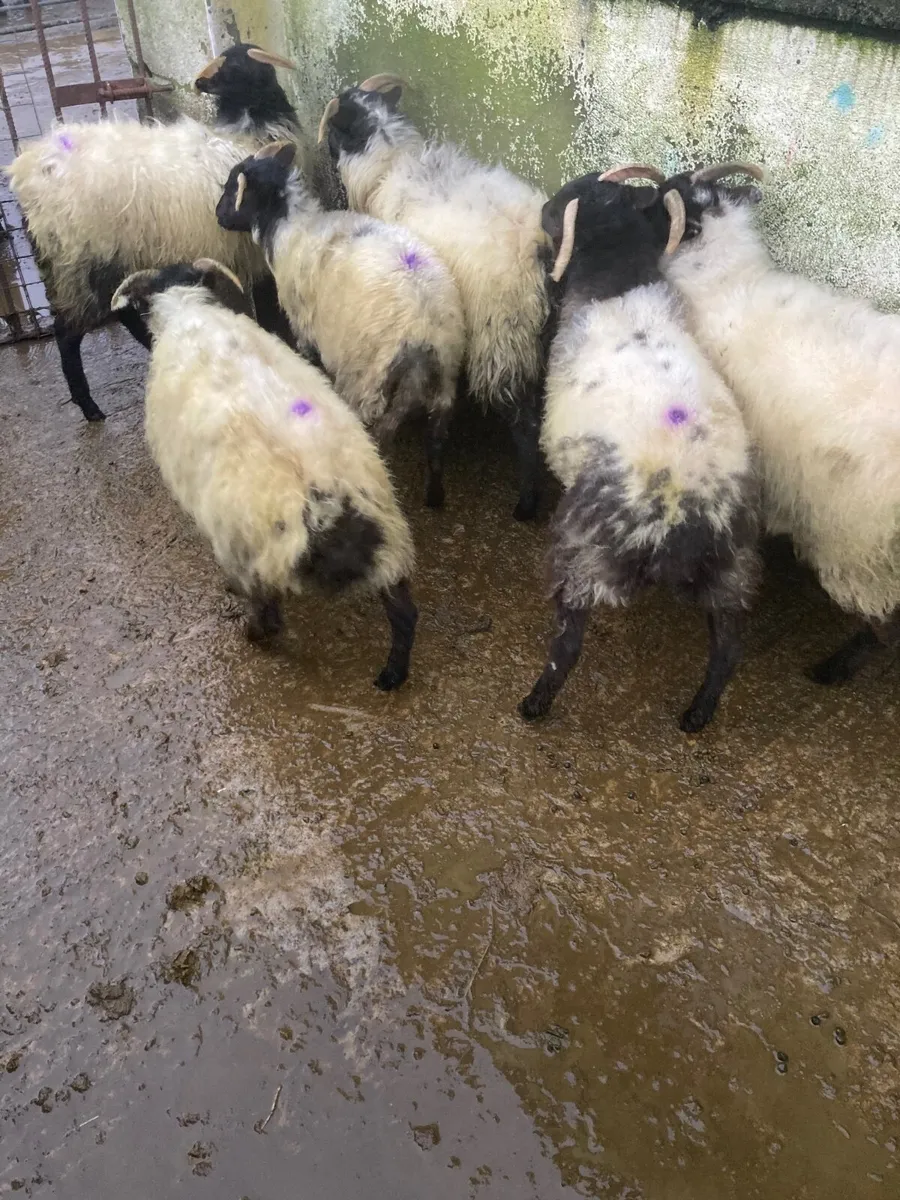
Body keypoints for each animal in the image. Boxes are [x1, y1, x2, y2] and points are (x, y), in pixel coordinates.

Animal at [6, 43, 300, 423]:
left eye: (234, 65)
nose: (199, 82)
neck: (246, 133)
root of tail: (26, 171)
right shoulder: (252, 256)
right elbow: (268, 311)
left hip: (110, 254)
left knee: (120, 309)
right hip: (76, 260)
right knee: (68, 333)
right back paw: (90, 407)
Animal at [109, 257, 418, 691]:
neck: (189, 311)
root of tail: (323, 503)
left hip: (250, 552)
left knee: (269, 617)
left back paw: (251, 633)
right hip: (390, 538)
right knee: (405, 613)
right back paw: (393, 675)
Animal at [215, 140, 466, 508]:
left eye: (233, 187)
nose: (217, 214)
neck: (291, 227)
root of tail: (424, 334)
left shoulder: (303, 323)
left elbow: (305, 353)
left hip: (366, 380)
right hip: (444, 390)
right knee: (436, 442)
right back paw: (434, 496)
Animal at [317, 75, 550, 521]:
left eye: (336, 130)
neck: (391, 161)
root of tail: (539, 247)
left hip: (505, 337)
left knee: (526, 423)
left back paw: (527, 503)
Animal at [518, 169, 760, 732]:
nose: (541, 209)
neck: (617, 283)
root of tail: (686, 519)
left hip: (585, 555)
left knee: (568, 646)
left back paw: (535, 703)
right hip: (733, 567)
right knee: (728, 649)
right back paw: (697, 714)